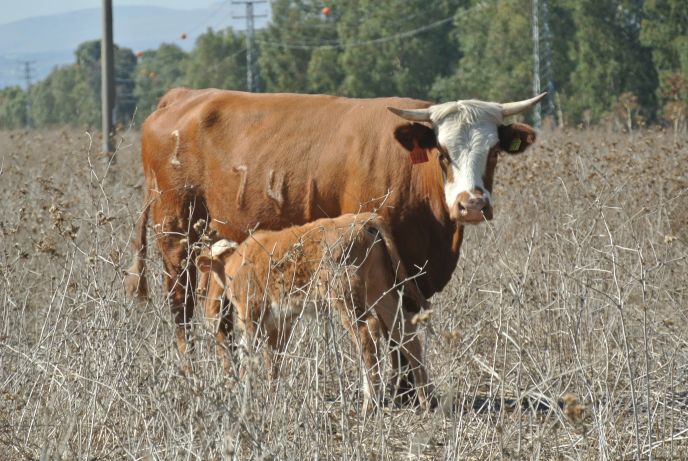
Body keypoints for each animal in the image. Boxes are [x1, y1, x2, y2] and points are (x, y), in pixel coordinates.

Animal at [194, 212, 431, 411]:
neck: (234, 262)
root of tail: (363, 219)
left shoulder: (250, 314)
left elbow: (247, 353)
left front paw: (244, 392)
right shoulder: (280, 322)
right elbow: (274, 359)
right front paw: (272, 395)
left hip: (344, 296)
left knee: (367, 331)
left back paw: (369, 405)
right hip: (379, 289)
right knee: (404, 330)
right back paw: (425, 399)